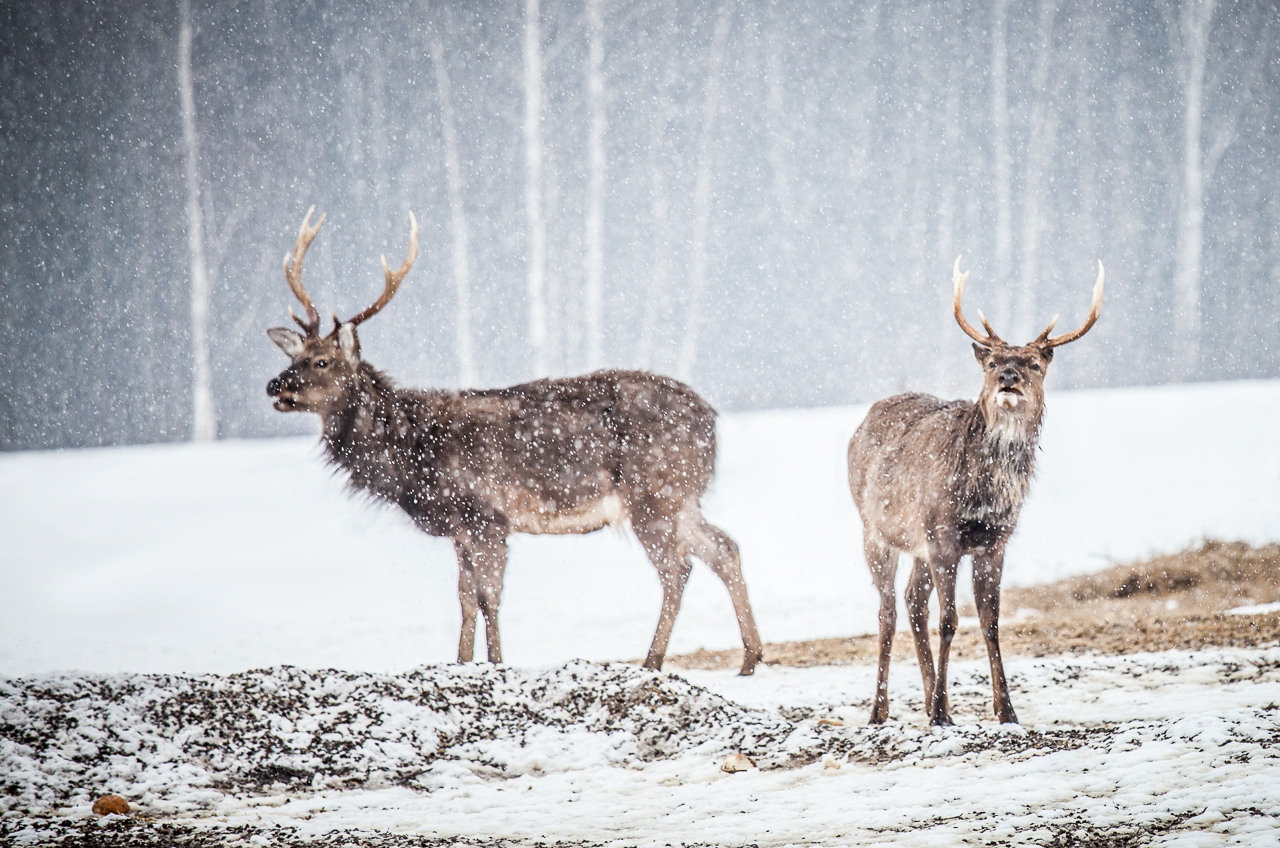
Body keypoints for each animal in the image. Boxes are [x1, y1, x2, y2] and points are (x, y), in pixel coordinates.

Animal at [261, 207, 757, 676]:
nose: (274, 386)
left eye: (322, 361)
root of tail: (711, 420)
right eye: (294, 357)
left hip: (654, 493)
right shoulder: (460, 528)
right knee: (724, 548)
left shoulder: (486, 516)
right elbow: (464, 598)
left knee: (678, 568)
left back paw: (652, 662)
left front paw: (497, 663)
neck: (413, 453)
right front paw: (462, 663)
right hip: (682, 496)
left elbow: (489, 597)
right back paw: (750, 657)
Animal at [844, 257, 1105, 722]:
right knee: (887, 610)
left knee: (912, 600)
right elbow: (949, 621)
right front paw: (940, 714)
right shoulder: (943, 536)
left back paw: (932, 699)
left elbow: (991, 621)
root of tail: (859, 427)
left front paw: (1005, 712)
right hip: (876, 531)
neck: (981, 493)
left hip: (917, 546)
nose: (1008, 377)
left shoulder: (994, 542)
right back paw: (881, 710)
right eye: (991, 362)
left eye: (1034, 363)